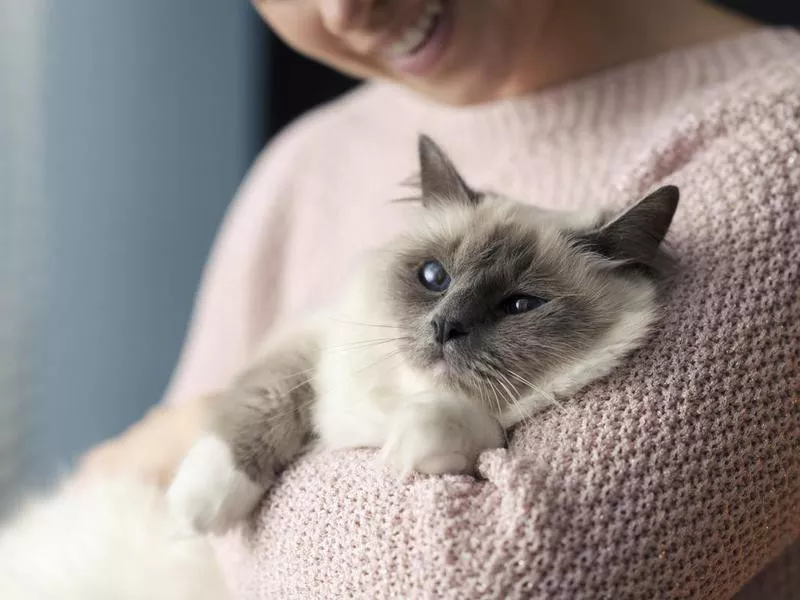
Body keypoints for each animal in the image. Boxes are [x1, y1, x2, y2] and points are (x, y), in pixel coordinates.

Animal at [167, 135, 680, 534]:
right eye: (434, 277)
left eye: (519, 305)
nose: (445, 326)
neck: (395, 403)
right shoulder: (309, 340)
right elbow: (258, 403)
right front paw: (195, 513)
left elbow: (463, 425)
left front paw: (407, 446)